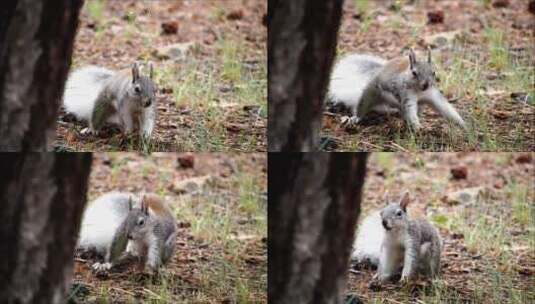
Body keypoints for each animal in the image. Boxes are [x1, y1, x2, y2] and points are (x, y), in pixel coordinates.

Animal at [328, 48, 466, 131]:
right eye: (414, 73)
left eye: (434, 72)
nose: (426, 85)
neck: (419, 91)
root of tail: (379, 70)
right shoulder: (406, 94)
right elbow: (410, 109)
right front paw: (417, 127)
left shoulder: (432, 95)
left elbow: (445, 108)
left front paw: (463, 125)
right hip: (371, 92)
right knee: (362, 106)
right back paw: (355, 118)